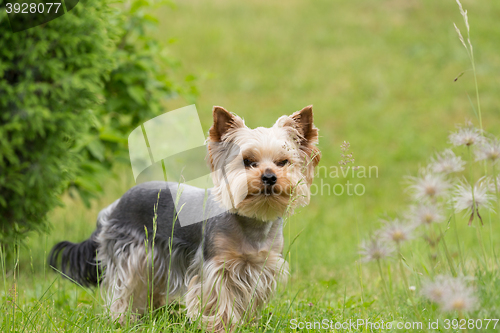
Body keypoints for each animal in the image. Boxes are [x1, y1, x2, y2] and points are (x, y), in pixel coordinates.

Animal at [49, 105, 320, 330]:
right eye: (248, 161)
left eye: (283, 162)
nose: (269, 177)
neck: (251, 220)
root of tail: (113, 206)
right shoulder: (216, 267)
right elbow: (219, 300)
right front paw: (221, 326)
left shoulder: (262, 267)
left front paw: (247, 324)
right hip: (131, 253)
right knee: (123, 288)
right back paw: (122, 319)